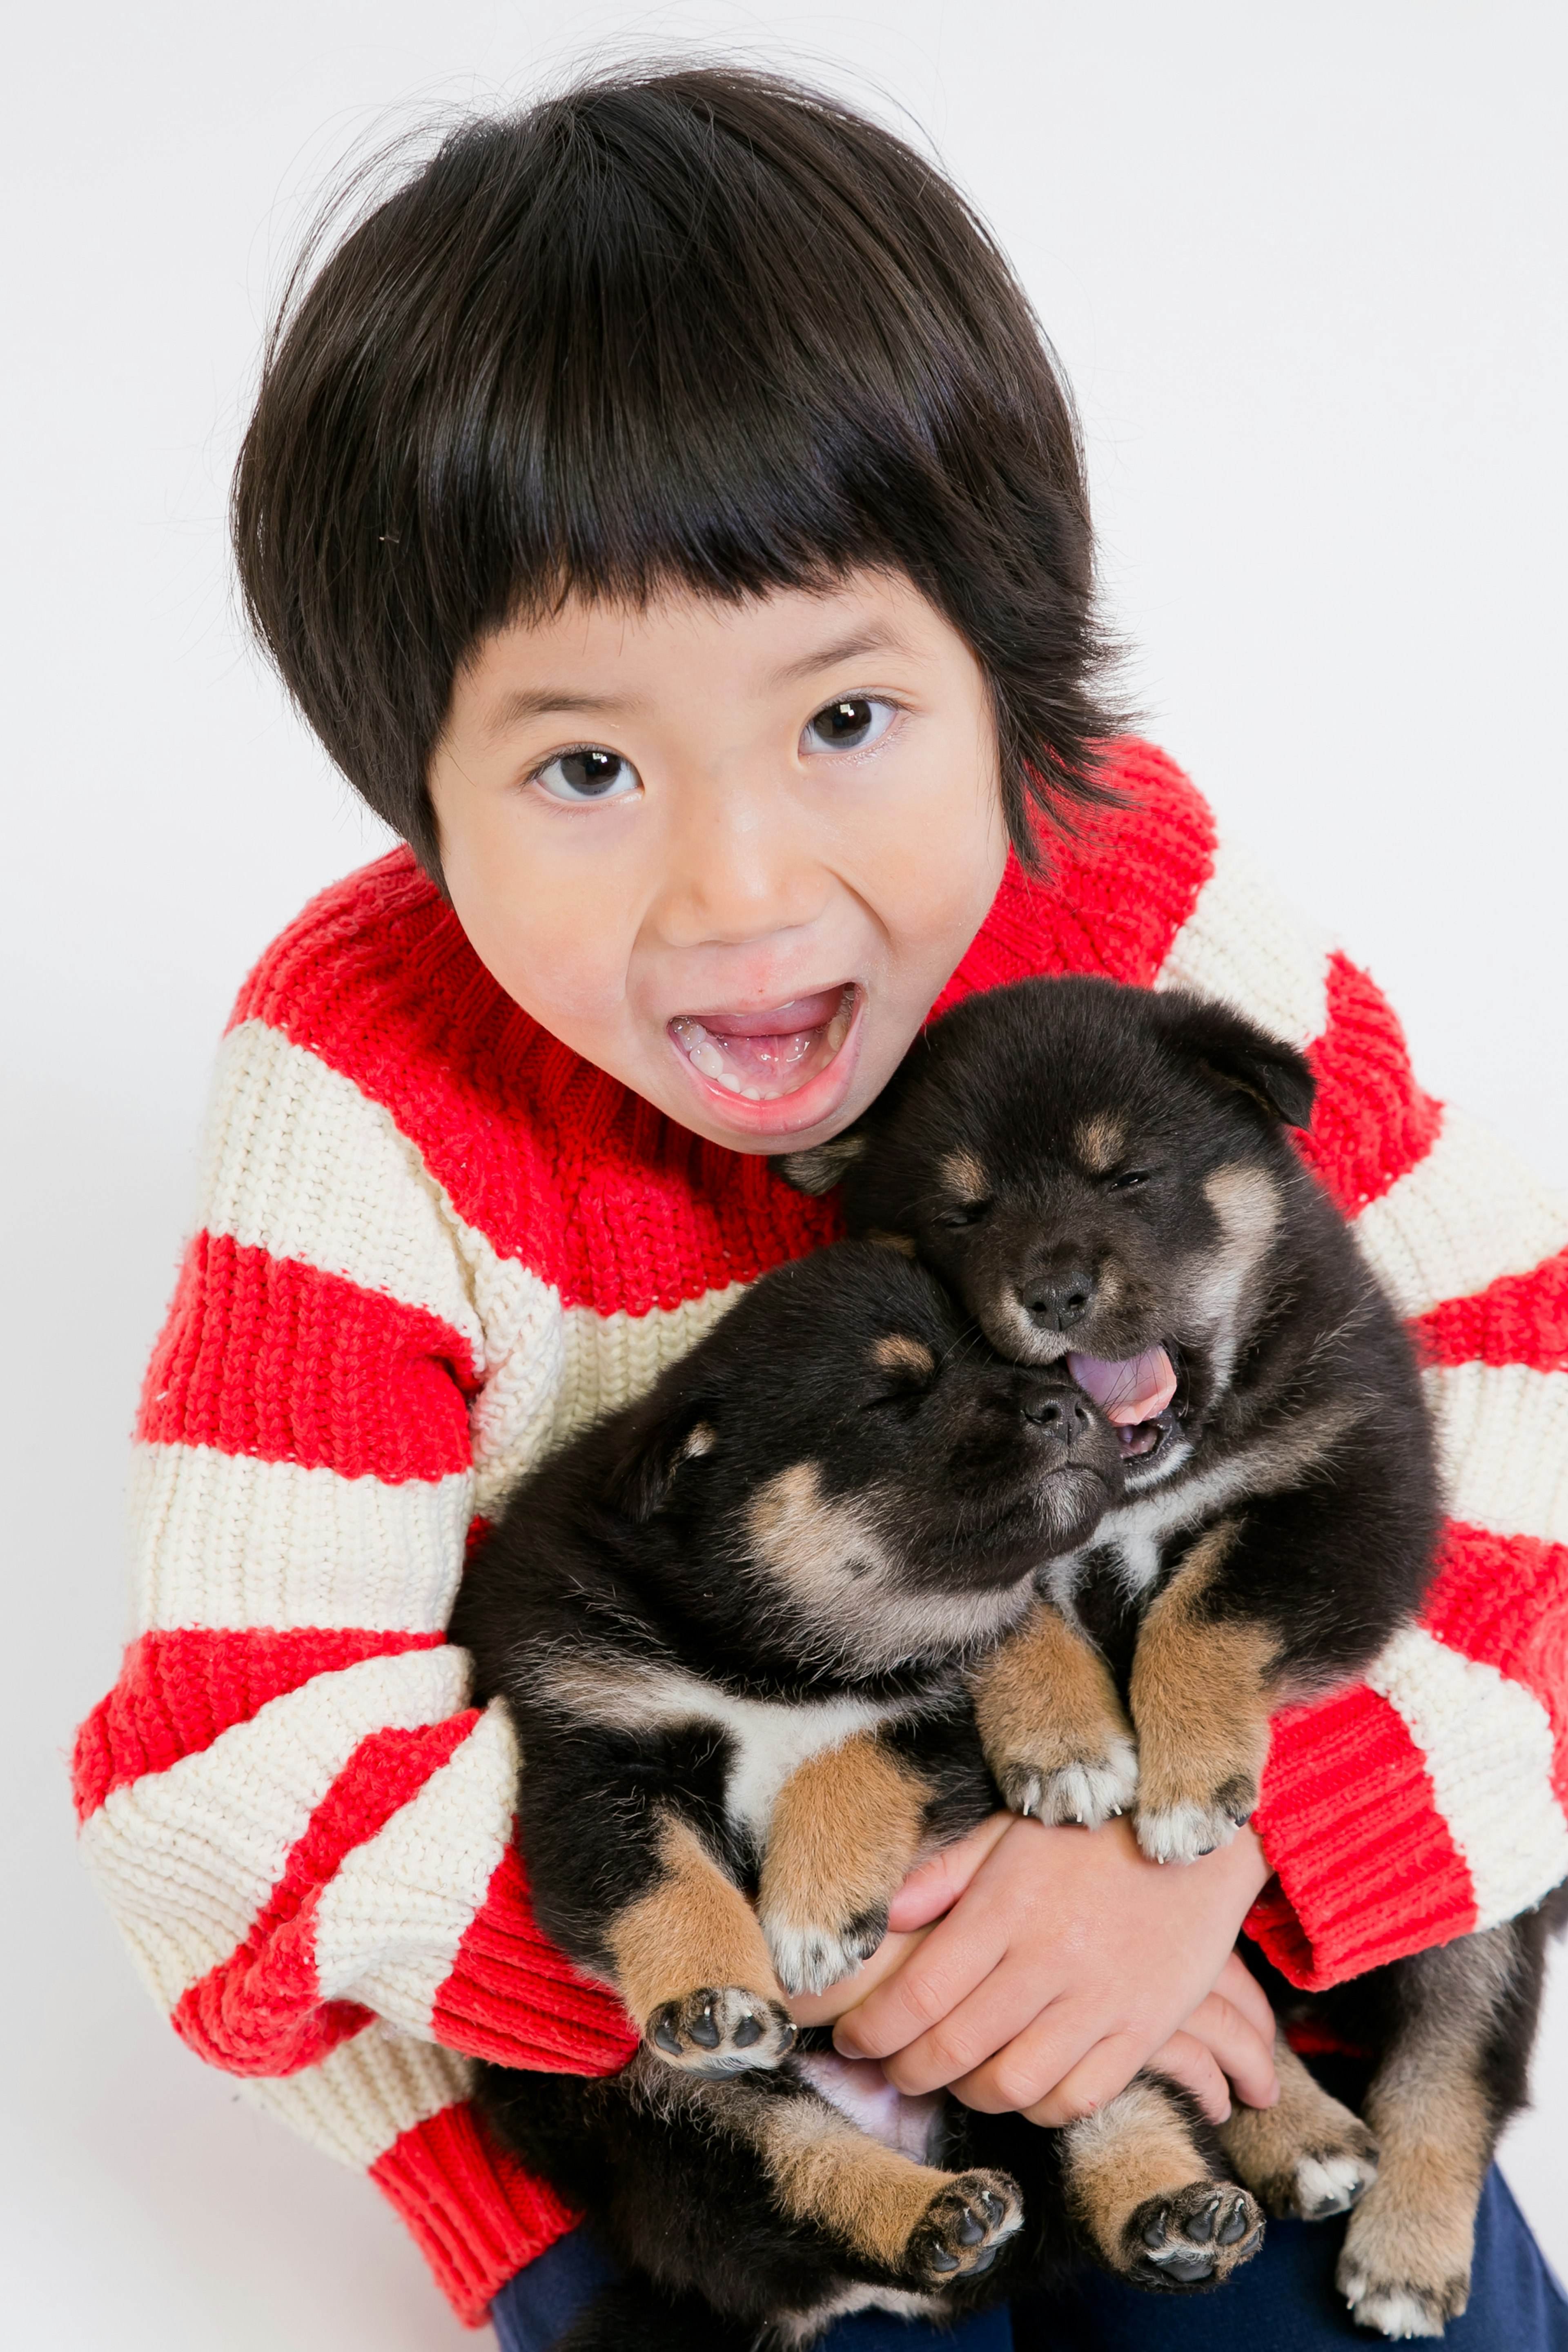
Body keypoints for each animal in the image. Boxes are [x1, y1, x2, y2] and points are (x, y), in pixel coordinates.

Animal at [446, 1242, 1363, 2342]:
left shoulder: (959, 1717)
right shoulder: (586, 1752)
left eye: (1011, 1359)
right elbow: (662, 1882)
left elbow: (857, 1754)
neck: (772, 1660)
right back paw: (936, 2213)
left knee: (1111, 2121)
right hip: (675, 2118)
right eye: (892, 1398)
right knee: (810, 2177)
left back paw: (1171, 2215)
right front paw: (712, 1993)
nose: (1068, 1405)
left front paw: (813, 1910)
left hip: (1087, 2036)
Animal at [780, 973, 1561, 2333]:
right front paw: (1065, 1745)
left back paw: (1404, 2247)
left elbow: (1206, 1610)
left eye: (1131, 1176)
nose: (1051, 1290)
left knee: (1450, 2062)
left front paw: (1191, 1782)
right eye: (963, 1210)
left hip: (1485, 1906)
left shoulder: (1355, 1489)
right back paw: (1302, 2138)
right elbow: (1016, 1608)